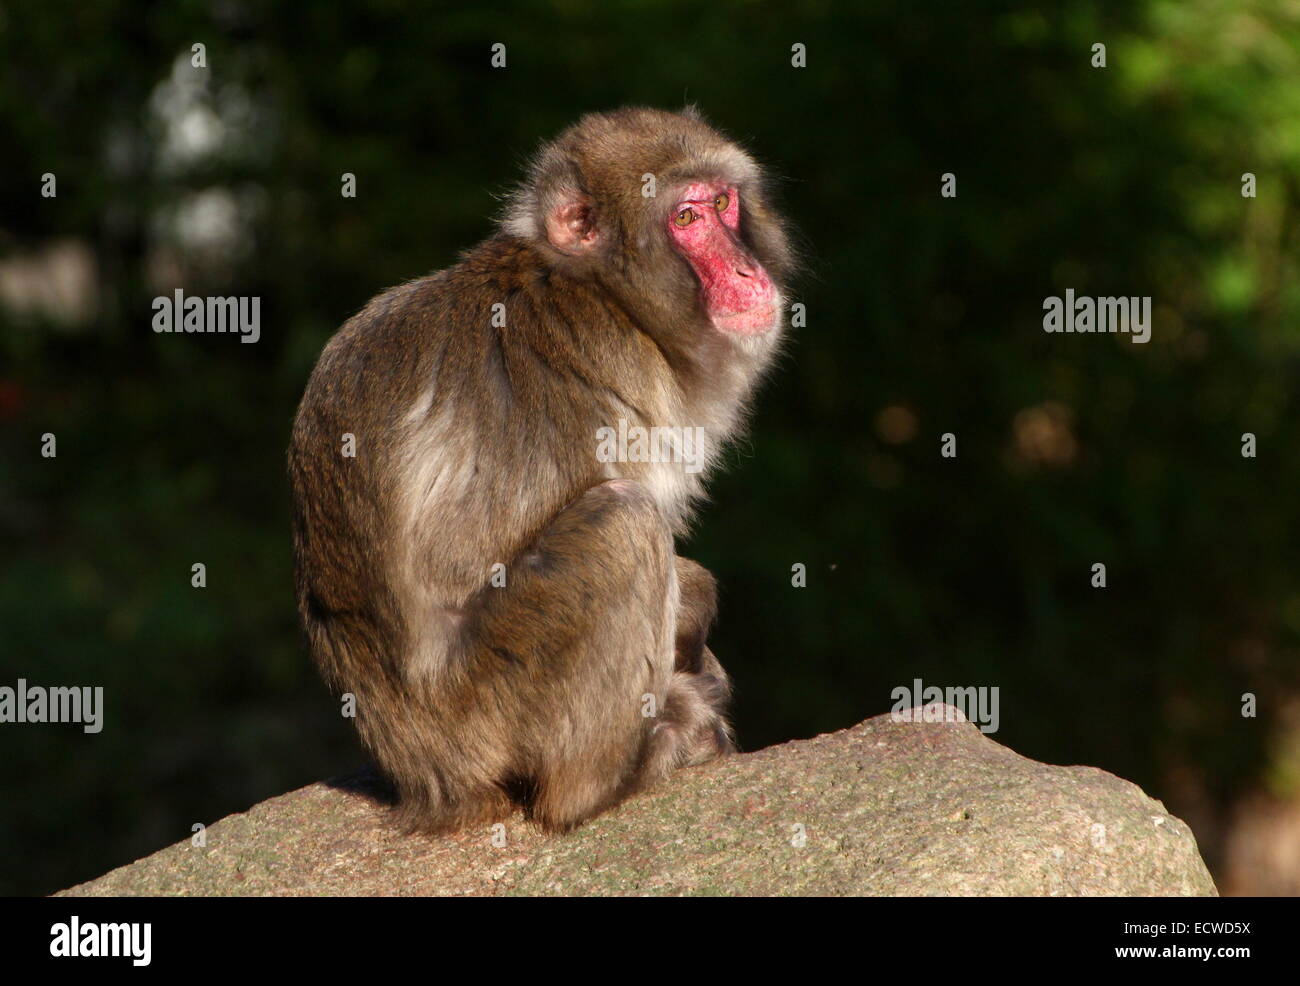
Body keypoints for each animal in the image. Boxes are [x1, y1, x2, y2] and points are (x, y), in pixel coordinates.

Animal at [291, 107, 795, 832]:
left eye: (724, 204)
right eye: (686, 217)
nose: (749, 271)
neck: (603, 293)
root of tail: (425, 776)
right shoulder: (599, 377)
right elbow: (456, 560)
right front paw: (696, 607)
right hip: (484, 711)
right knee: (623, 522)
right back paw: (609, 777)